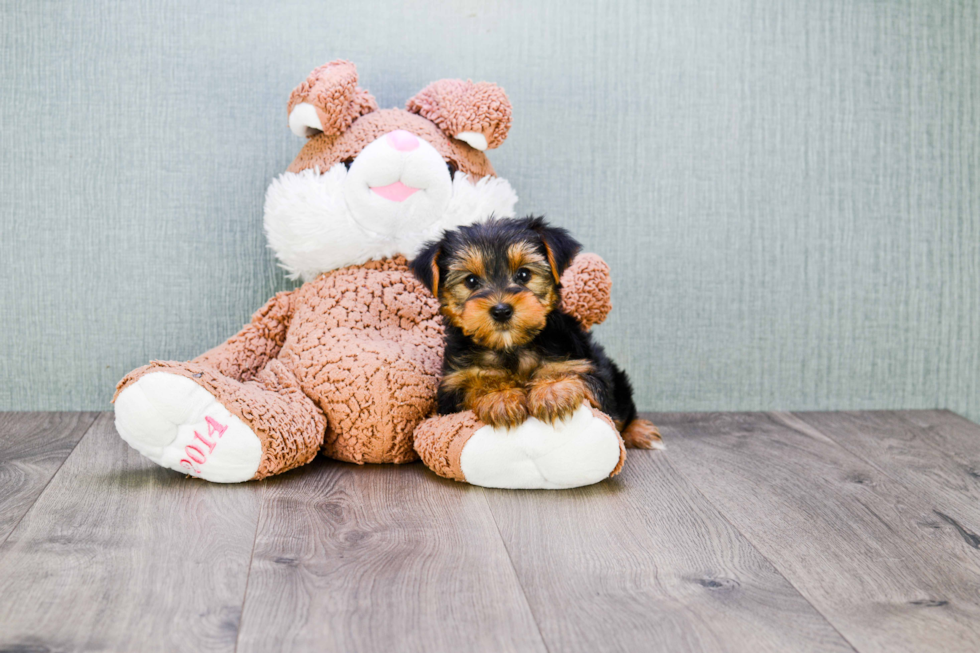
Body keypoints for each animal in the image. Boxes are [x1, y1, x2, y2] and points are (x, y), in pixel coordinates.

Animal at [410, 215, 664, 448]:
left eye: (524, 274)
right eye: (471, 281)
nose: (501, 311)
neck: (511, 347)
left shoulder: (586, 365)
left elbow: (576, 375)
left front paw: (552, 391)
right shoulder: (450, 392)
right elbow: (472, 386)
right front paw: (499, 396)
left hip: (617, 380)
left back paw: (640, 431)